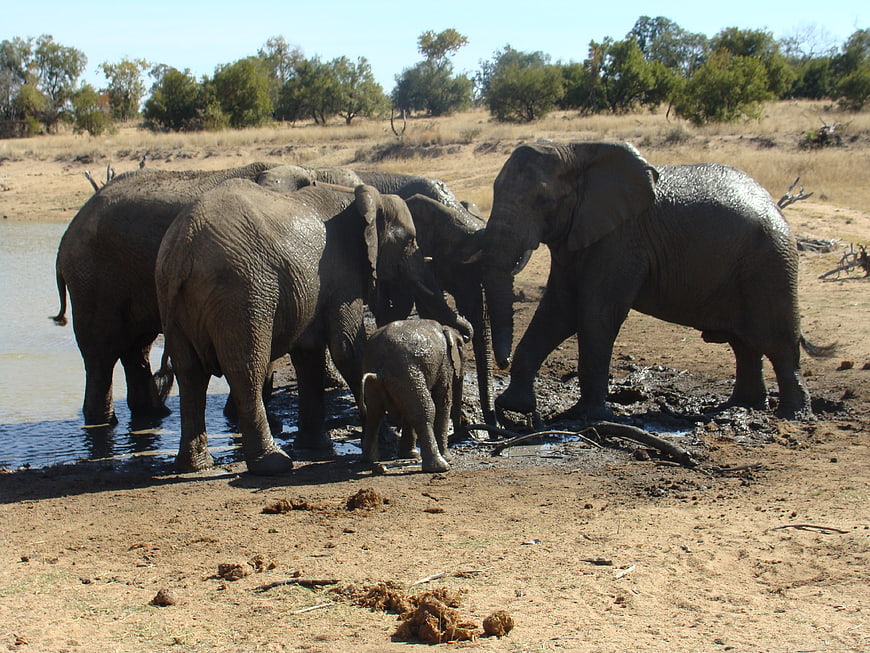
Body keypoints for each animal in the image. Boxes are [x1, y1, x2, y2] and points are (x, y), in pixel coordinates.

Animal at [52, 162, 277, 426]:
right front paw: (238, 416)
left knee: (136, 348)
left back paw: (153, 414)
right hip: (93, 277)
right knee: (101, 353)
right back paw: (104, 423)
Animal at [360, 319, 466, 473]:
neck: (447, 329)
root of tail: (380, 367)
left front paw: (409, 455)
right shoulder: (445, 363)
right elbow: (442, 400)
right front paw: (448, 457)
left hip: (379, 373)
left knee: (375, 413)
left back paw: (368, 460)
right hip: (406, 372)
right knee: (425, 410)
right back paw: (441, 467)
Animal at [480, 141, 828, 423]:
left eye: (543, 200)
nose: (502, 360)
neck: (579, 151)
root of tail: (775, 206)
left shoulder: (622, 239)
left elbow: (596, 314)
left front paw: (585, 416)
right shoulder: (577, 237)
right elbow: (558, 312)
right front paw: (515, 407)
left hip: (771, 262)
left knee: (778, 342)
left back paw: (792, 415)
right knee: (744, 344)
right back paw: (741, 406)